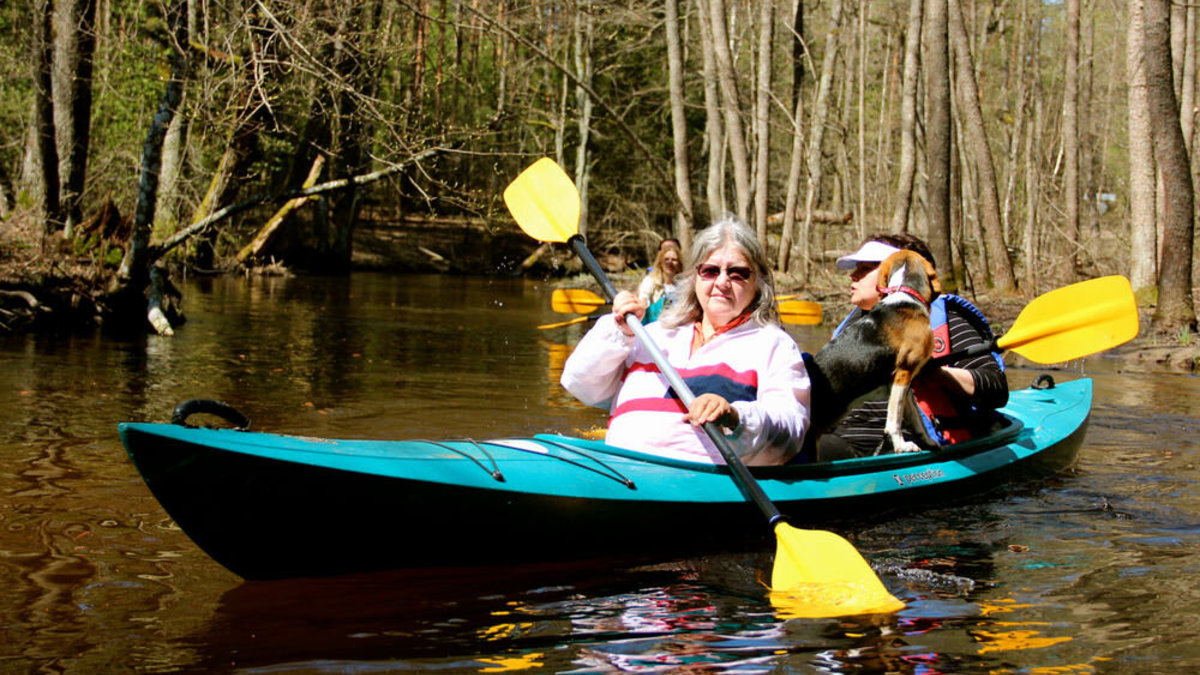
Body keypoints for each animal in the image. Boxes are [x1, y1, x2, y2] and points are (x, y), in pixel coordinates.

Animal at [806, 249, 945, 454]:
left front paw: (927, 442)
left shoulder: (903, 383)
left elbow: (916, 419)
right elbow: (894, 420)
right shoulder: (904, 372)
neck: (905, 293)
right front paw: (901, 445)